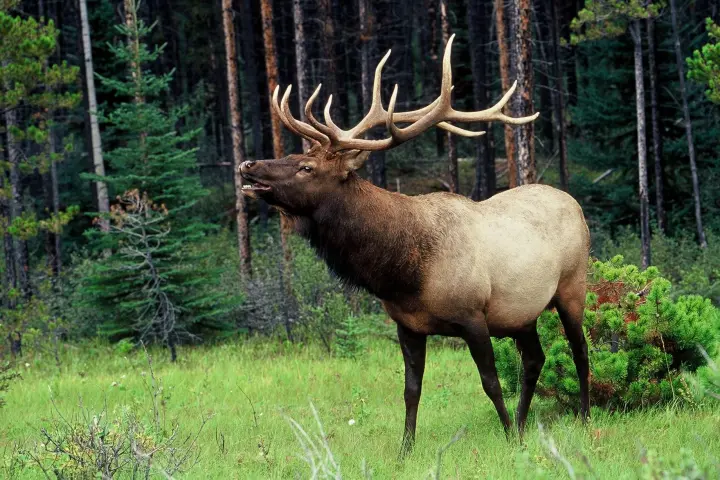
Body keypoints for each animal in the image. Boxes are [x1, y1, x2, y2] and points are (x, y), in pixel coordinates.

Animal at [240, 35, 590, 455]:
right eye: (292, 154)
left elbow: (490, 382)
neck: (404, 274)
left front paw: (506, 435)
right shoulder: (406, 325)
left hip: (572, 286)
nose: (248, 165)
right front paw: (404, 450)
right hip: (522, 314)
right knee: (535, 360)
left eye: (307, 167)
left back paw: (583, 417)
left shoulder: (473, 316)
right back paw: (524, 425)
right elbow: (411, 390)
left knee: (579, 349)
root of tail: (574, 202)